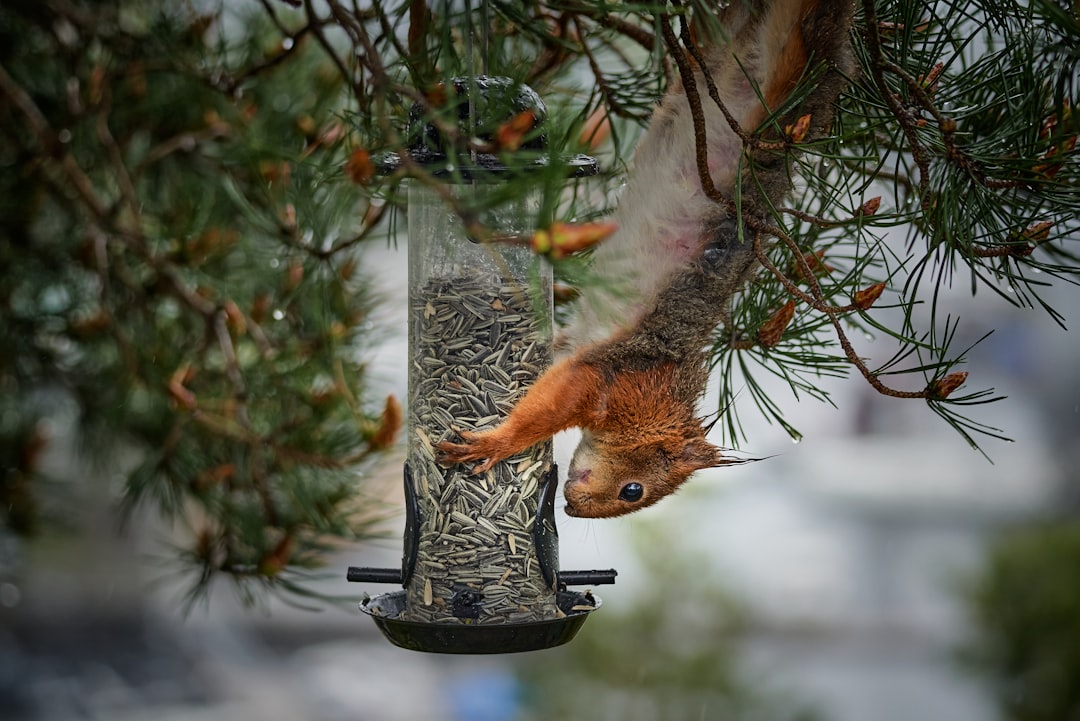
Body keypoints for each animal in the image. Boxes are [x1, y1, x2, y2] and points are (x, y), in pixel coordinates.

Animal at [434, 0, 855, 518]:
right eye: (634, 489)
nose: (572, 510)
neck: (662, 402)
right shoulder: (618, 381)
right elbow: (554, 402)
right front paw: (499, 442)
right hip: (785, 67)